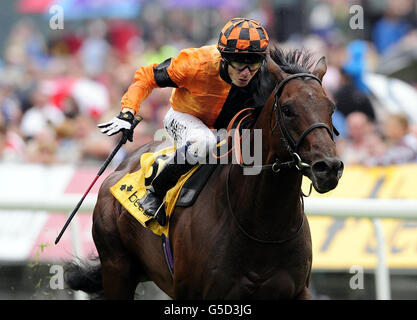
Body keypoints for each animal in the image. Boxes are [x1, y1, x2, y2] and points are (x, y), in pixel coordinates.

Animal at [65, 48, 342, 300]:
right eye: (287, 109)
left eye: (331, 107)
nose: (328, 167)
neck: (263, 228)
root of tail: (119, 170)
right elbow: (150, 73)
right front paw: (125, 120)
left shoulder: (298, 290)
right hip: (117, 268)